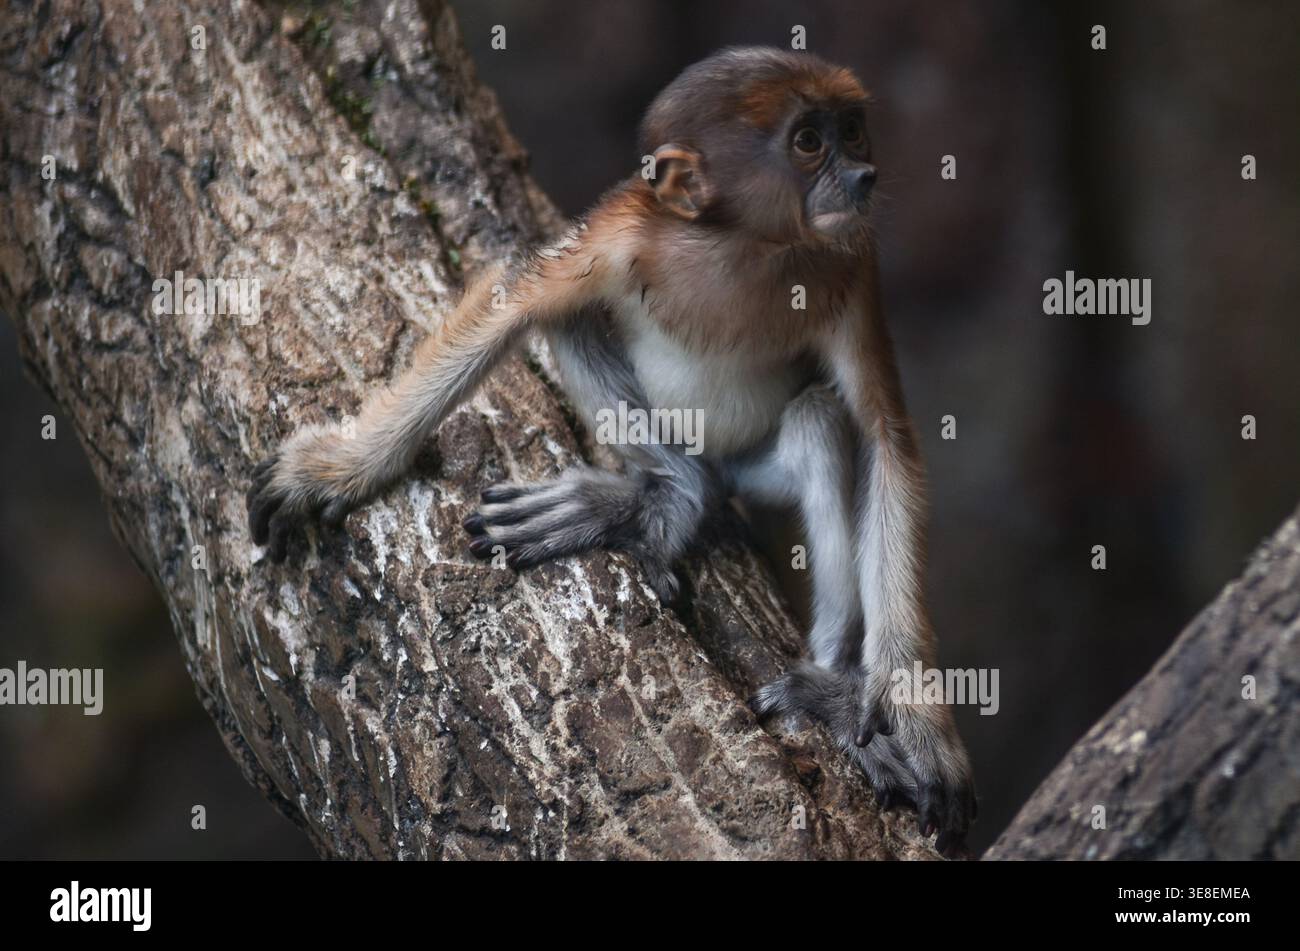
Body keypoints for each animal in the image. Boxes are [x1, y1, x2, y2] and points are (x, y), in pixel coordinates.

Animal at [247, 47, 976, 854]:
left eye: (853, 131)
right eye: (809, 141)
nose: (864, 177)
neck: (741, 249)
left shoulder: (851, 260)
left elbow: (886, 436)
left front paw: (917, 724)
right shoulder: (623, 232)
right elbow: (515, 299)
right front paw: (339, 468)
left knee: (818, 420)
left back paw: (830, 690)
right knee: (575, 325)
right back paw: (668, 492)